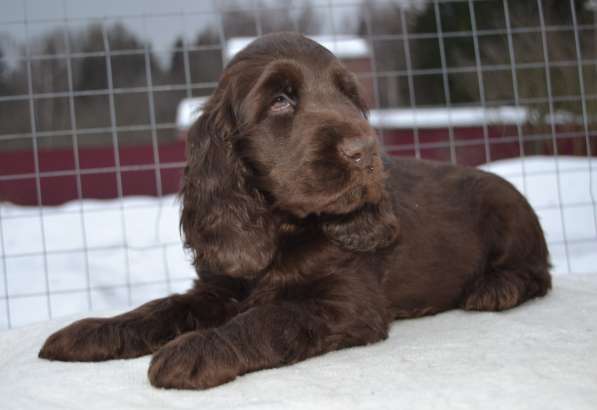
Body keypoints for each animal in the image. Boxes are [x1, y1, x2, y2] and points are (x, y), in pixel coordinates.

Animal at [36, 33, 548, 390]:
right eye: (280, 100)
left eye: (349, 97)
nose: (365, 152)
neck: (282, 226)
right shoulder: (218, 286)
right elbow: (161, 306)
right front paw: (93, 331)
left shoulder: (345, 303)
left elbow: (268, 318)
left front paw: (197, 349)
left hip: (507, 212)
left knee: (537, 272)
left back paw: (494, 288)